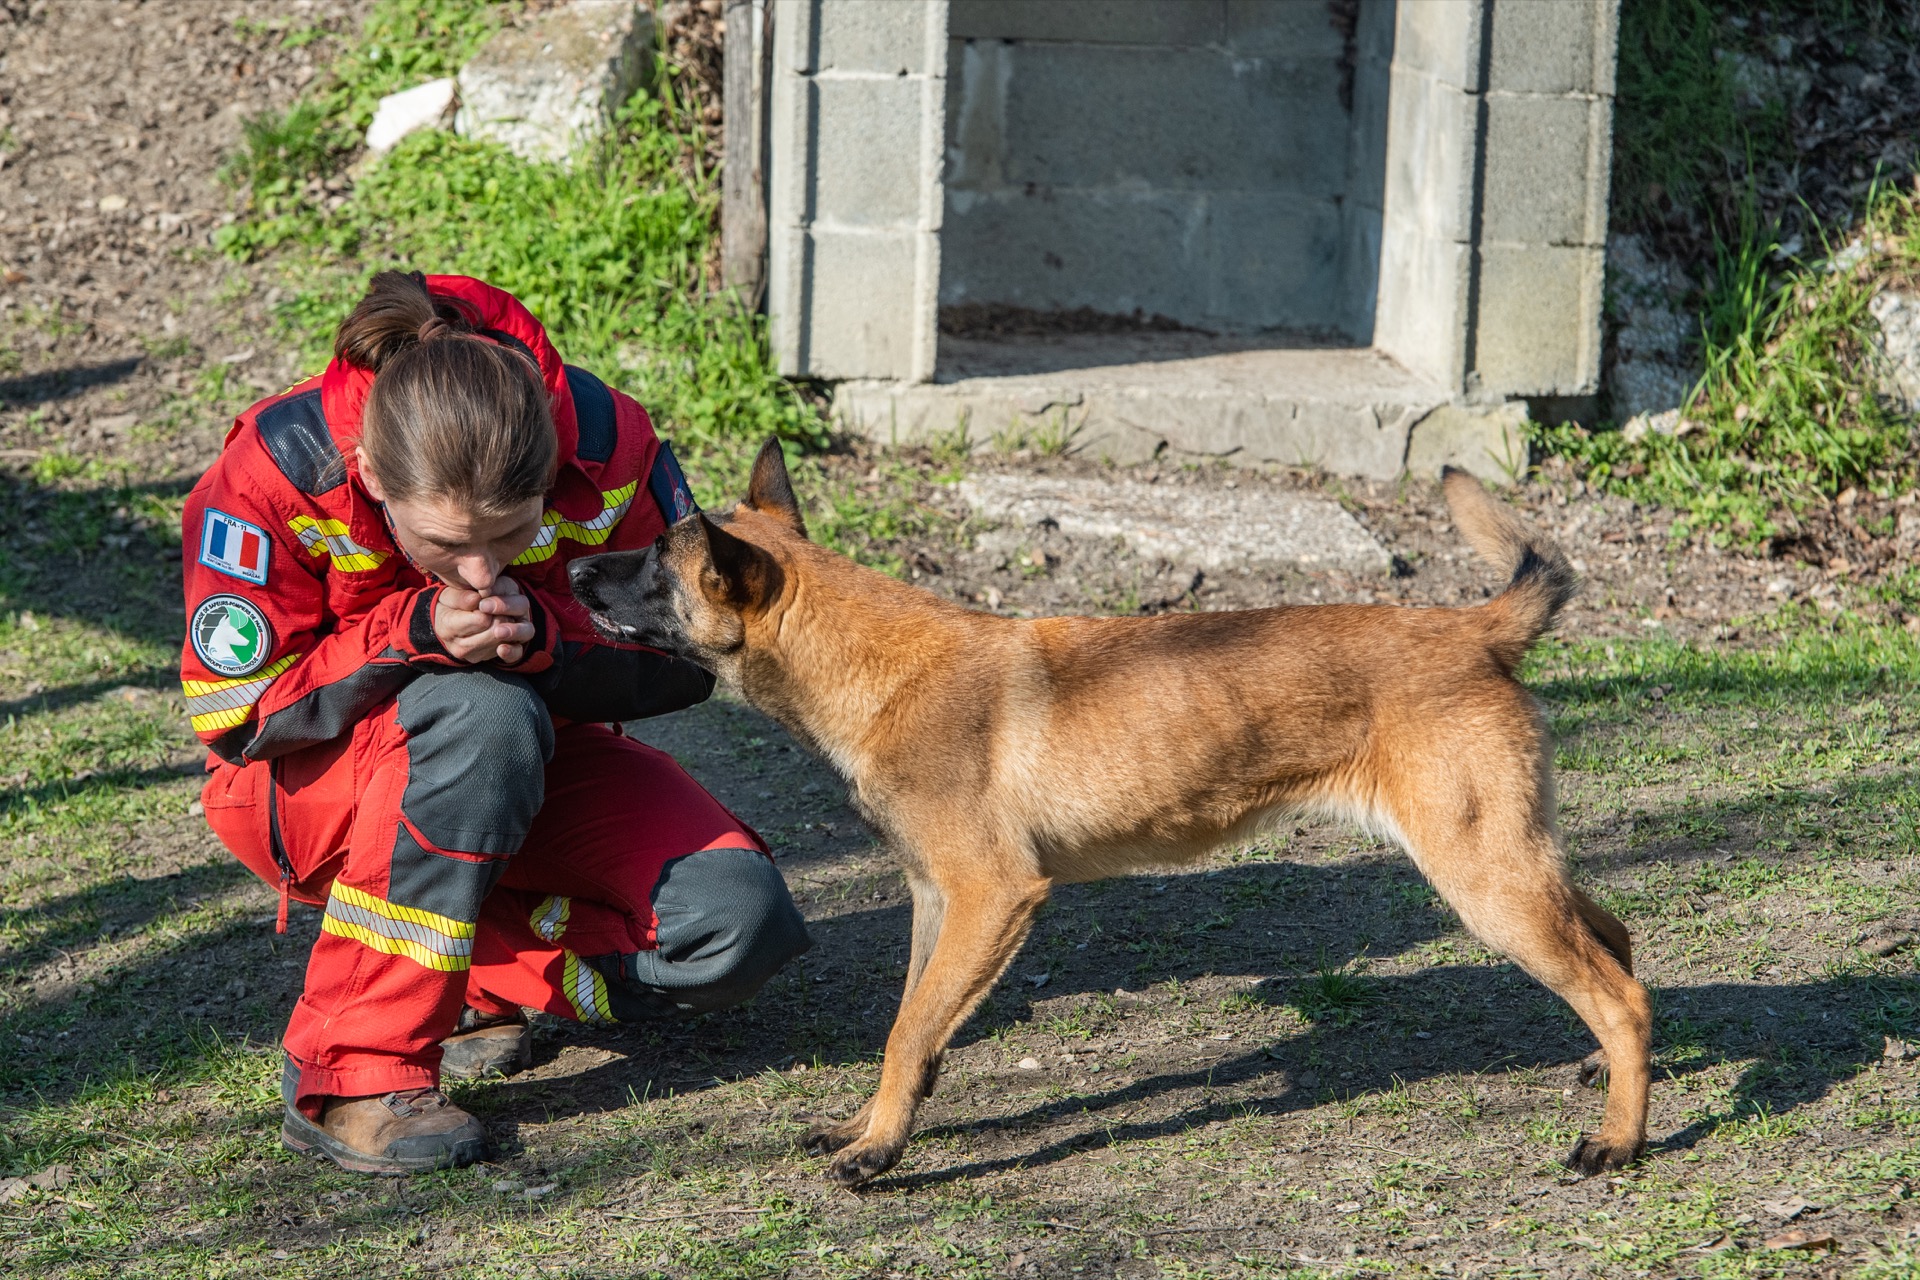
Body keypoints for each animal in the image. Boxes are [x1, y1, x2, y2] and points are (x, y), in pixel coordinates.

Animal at [564, 443, 1651, 1189]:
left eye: (652, 561)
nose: (569, 572)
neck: (873, 663)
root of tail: (1470, 628)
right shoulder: (936, 903)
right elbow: (913, 1028)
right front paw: (877, 1125)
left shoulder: (993, 897)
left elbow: (909, 1031)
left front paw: (878, 1153)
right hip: (1517, 863)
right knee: (1617, 945)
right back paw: (1606, 1072)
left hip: (1486, 879)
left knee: (1621, 991)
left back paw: (1619, 1137)